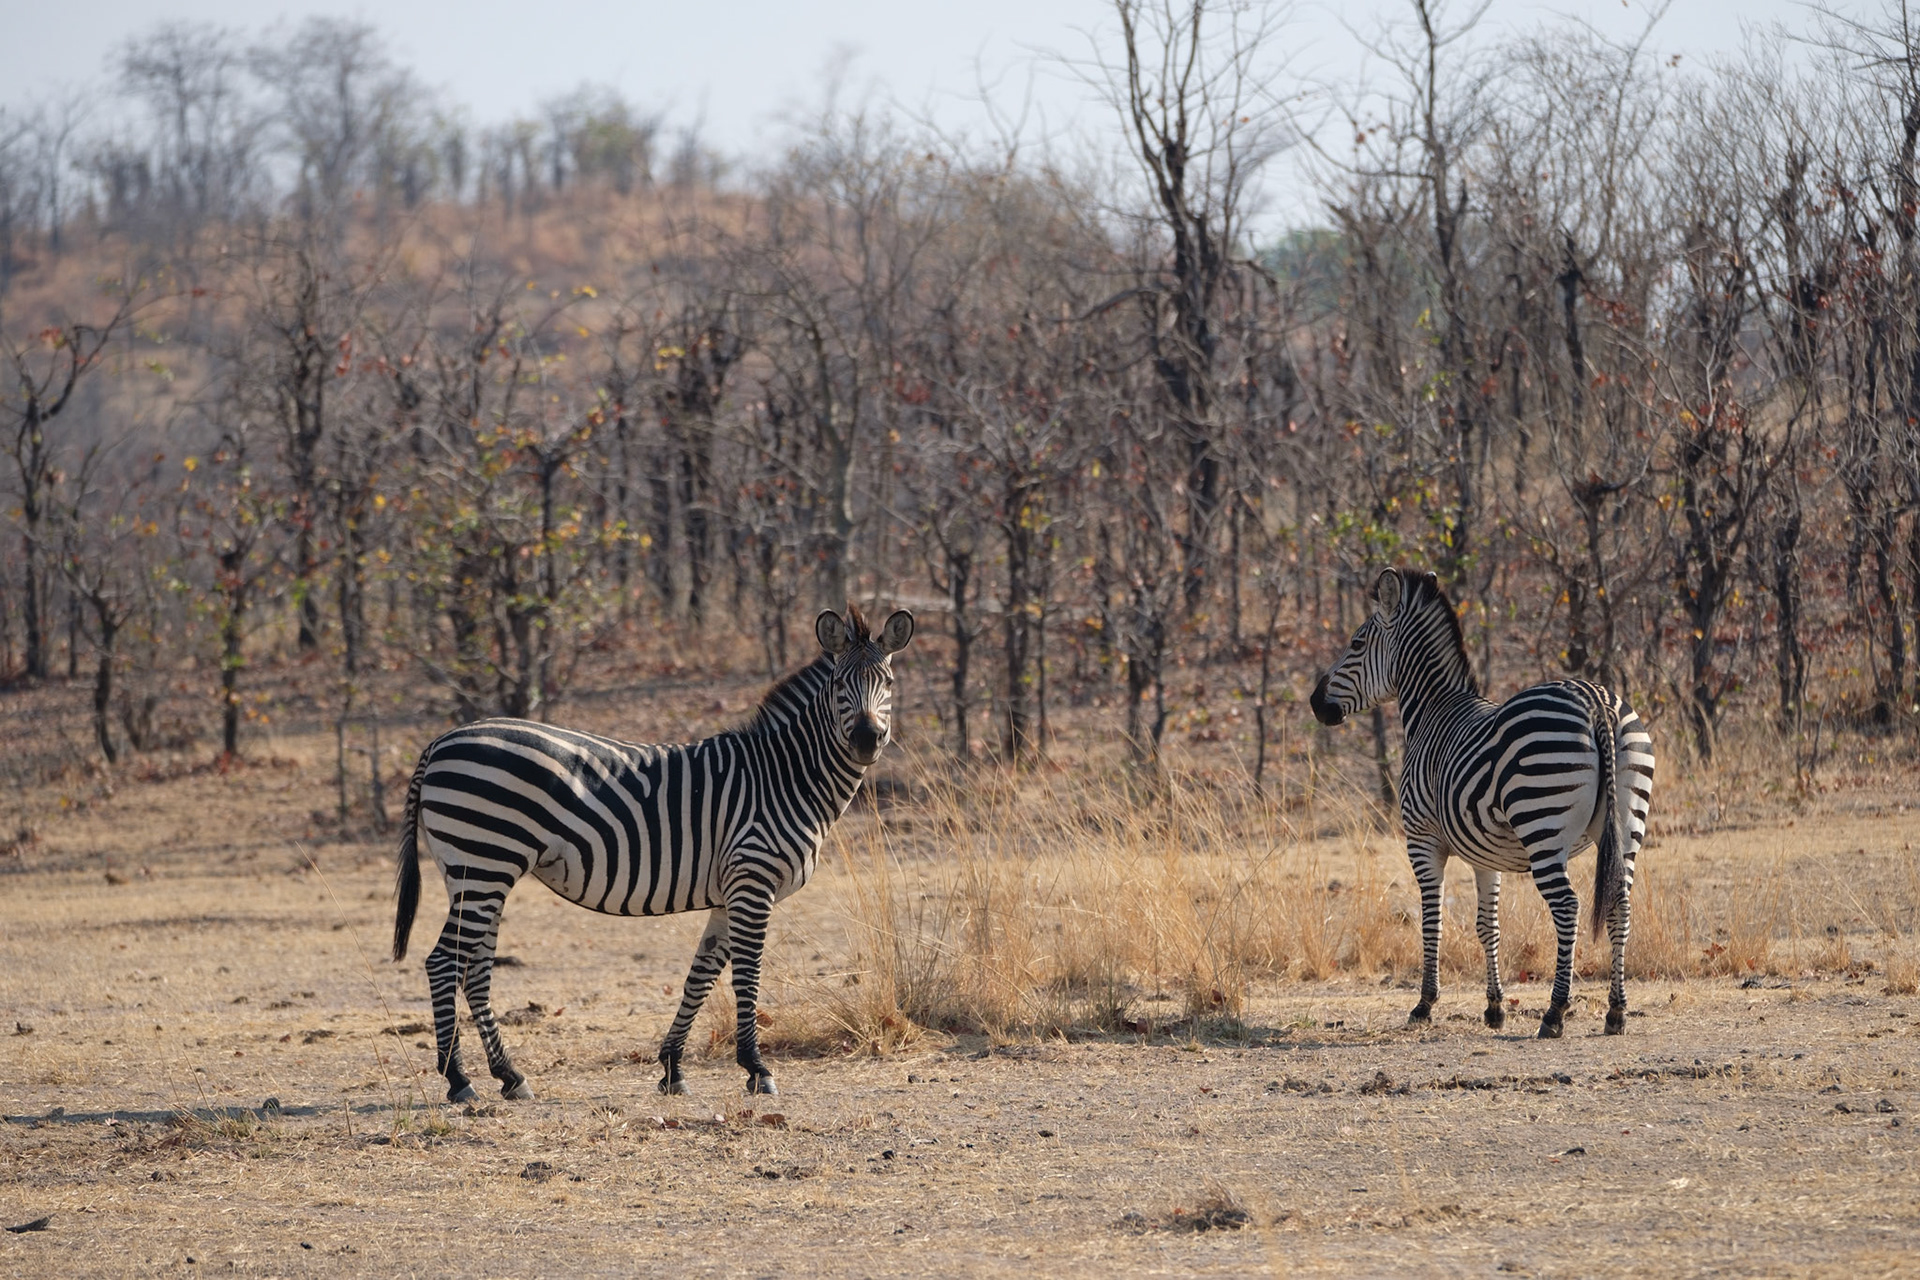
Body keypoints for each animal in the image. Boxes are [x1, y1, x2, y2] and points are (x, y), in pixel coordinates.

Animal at [392, 604, 915, 1102]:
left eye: (888, 683)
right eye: (840, 683)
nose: (866, 739)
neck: (784, 775)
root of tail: (441, 741)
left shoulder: (729, 892)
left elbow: (701, 975)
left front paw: (672, 1069)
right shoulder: (753, 879)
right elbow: (747, 976)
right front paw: (757, 1069)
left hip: (475, 871)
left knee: (475, 970)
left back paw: (509, 1076)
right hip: (483, 862)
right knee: (444, 963)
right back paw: (459, 1079)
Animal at [1309, 568, 1655, 1038]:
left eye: (1357, 643)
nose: (1314, 703)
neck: (1432, 712)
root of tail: (1595, 701)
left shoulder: (1422, 840)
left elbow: (1432, 919)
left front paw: (1425, 1004)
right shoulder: (1485, 855)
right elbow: (1487, 926)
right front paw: (1494, 1007)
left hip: (1542, 825)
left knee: (1567, 907)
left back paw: (1554, 1012)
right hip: (1627, 824)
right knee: (1620, 904)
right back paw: (1616, 1012)